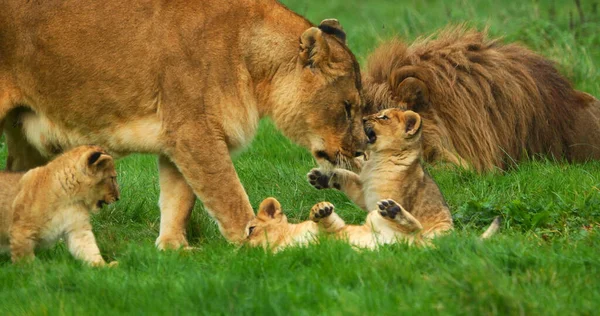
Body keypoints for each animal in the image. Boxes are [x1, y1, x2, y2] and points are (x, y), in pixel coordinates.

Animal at [0, 0, 366, 248]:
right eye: (348, 108)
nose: (362, 150)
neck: (253, 61)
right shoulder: (194, 133)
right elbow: (228, 194)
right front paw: (258, 242)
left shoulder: (178, 136)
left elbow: (178, 198)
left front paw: (173, 248)